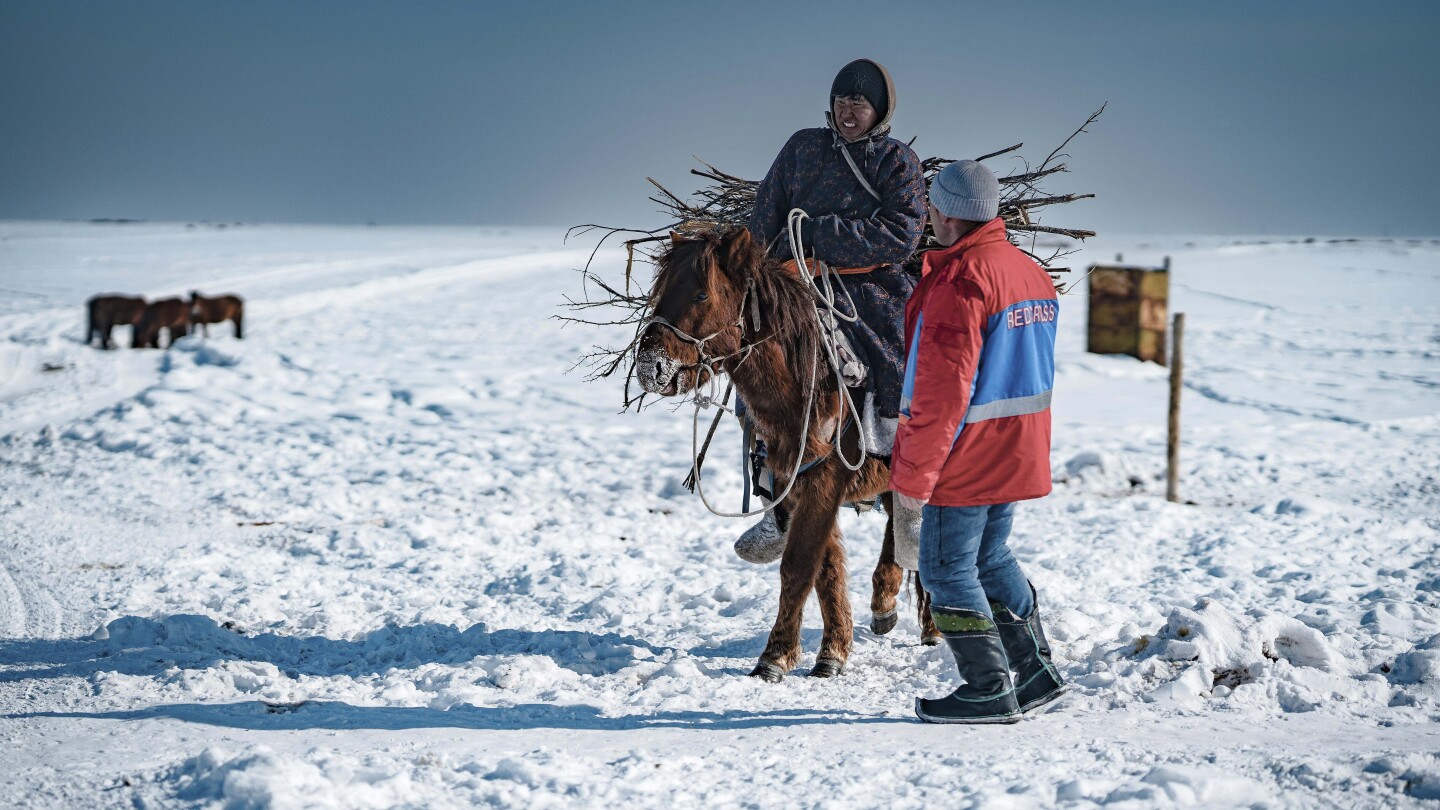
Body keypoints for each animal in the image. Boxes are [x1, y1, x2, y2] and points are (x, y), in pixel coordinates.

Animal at [639, 223, 933, 677]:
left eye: (702, 295)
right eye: (661, 290)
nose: (650, 366)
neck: (805, 385)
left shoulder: (824, 482)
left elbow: (798, 564)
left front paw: (775, 657)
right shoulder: (794, 483)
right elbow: (824, 569)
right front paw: (833, 650)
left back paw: (932, 625)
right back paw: (884, 604)